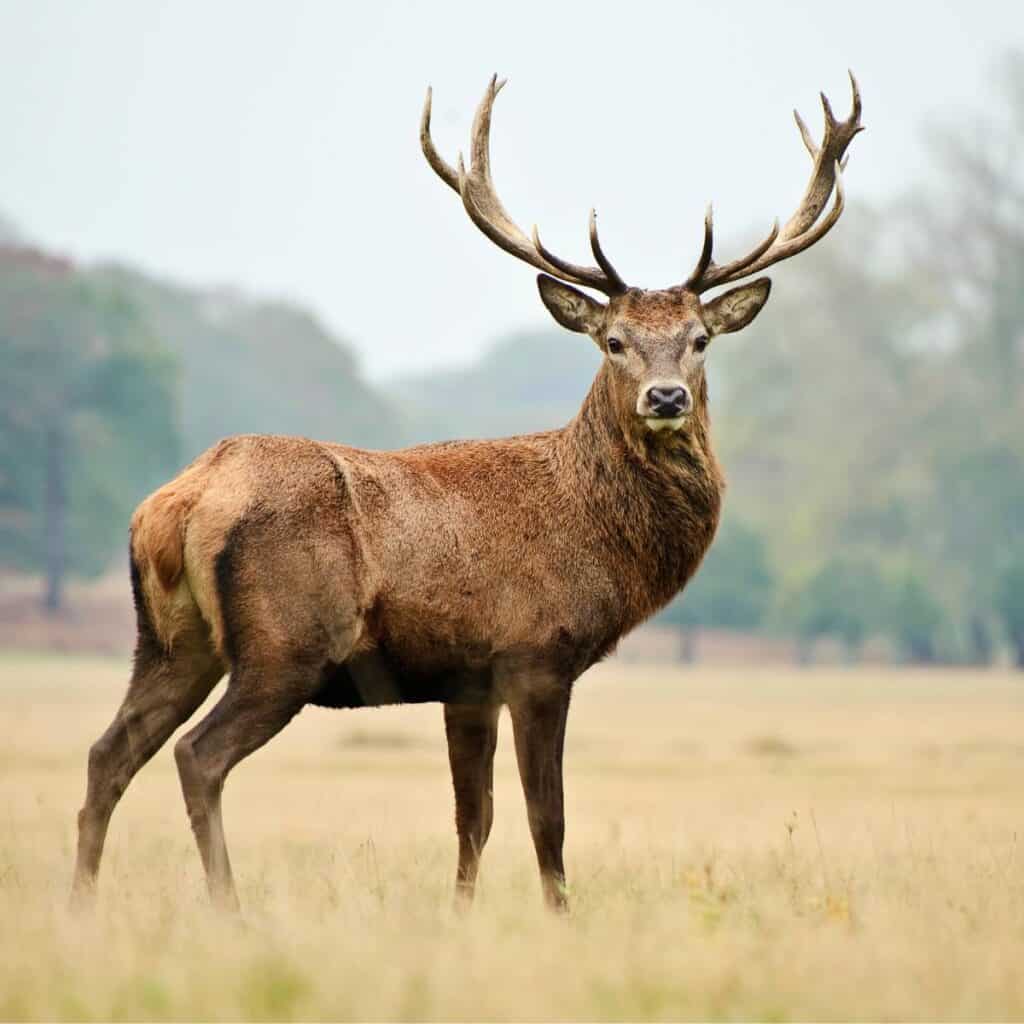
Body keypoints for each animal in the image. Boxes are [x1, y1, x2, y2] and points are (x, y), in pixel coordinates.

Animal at [70, 75, 864, 917]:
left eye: (700, 339)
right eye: (613, 341)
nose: (667, 396)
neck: (595, 534)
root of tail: (176, 504)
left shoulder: (467, 681)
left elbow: (472, 818)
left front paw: (460, 914)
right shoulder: (536, 655)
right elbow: (547, 816)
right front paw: (560, 916)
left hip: (170, 640)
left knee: (108, 752)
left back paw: (80, 902)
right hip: (285, 643)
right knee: (198, 756)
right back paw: (228, 907)